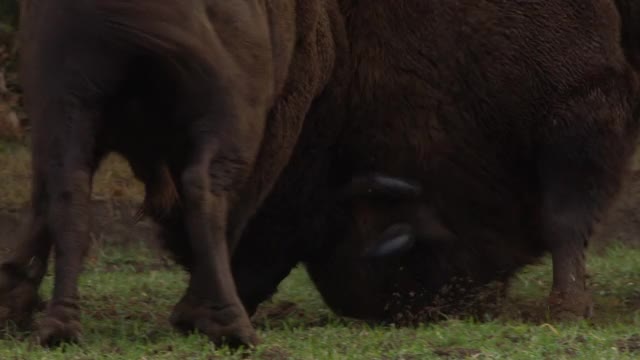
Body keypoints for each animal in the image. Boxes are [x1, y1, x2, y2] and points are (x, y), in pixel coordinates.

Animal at [0, 0, 344, 348]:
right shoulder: (284, 108)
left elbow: (44, 198)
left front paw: (12, 300)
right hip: (231, 105)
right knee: (209, 190)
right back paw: (224, 322)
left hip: (66, 96)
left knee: (69, 189)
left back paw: (59, 326)